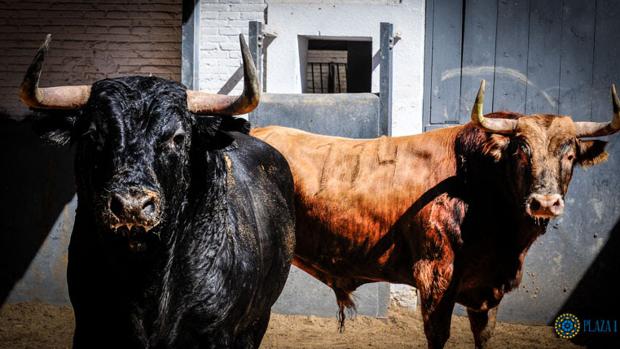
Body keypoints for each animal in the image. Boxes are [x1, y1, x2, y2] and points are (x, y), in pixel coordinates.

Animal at [252, 80, 620, 346]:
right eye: (521, 151)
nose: (544, 203)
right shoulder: (435, 277)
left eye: (570, 154)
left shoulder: (487, 289)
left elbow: (484, 335)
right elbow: (438, 334)